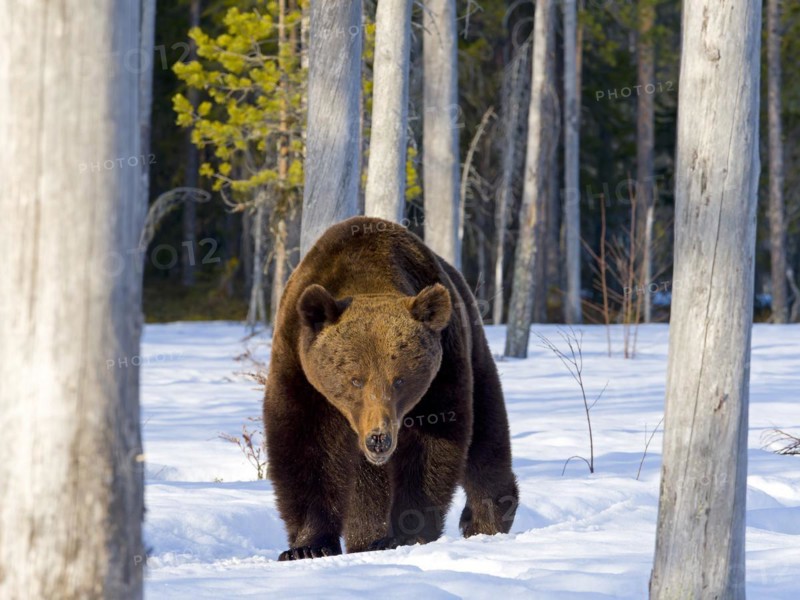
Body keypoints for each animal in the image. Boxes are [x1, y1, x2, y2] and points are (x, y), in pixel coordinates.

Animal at [264, 216, 518, 561]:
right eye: (355, 379)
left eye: (400, 379)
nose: (378, 438)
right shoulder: (300, 370)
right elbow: (304, 446)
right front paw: (307, 546)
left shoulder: (441, 375)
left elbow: (431, 451)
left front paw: (406, 534)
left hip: (473, 347)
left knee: (487, 434)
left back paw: (485, 518)